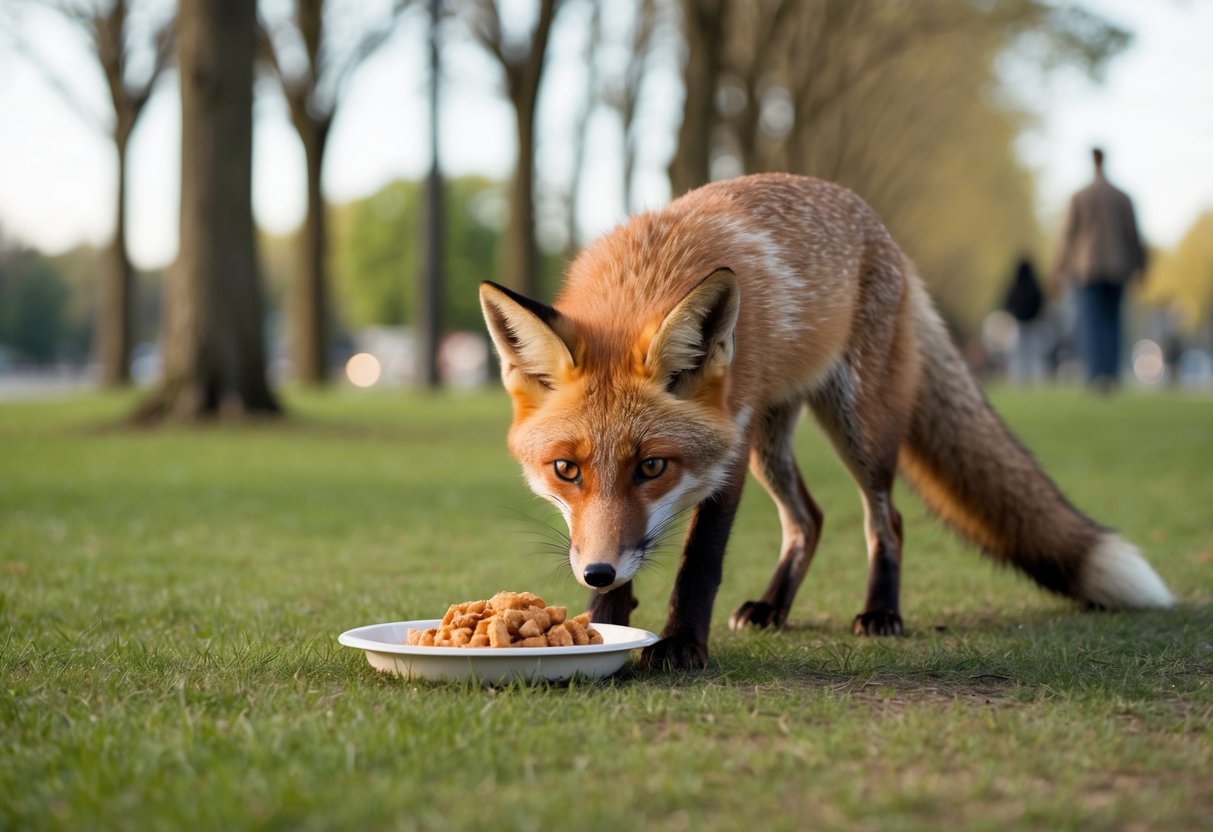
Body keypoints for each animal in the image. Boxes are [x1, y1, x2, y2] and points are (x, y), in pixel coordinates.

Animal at [478, 173, 1174, 671]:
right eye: (565, 469)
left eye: (652, 466)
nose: (597, 571)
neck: (644, 279)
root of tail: (882, 232)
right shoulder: (726, 448)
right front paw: (606, 617)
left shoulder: (724, 457)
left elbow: (700, 560)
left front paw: (680, 646)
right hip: (769, 441)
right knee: (808, 518)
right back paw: (772, 606)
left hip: (855, 426)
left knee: (886, 520)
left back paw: (881, 612)